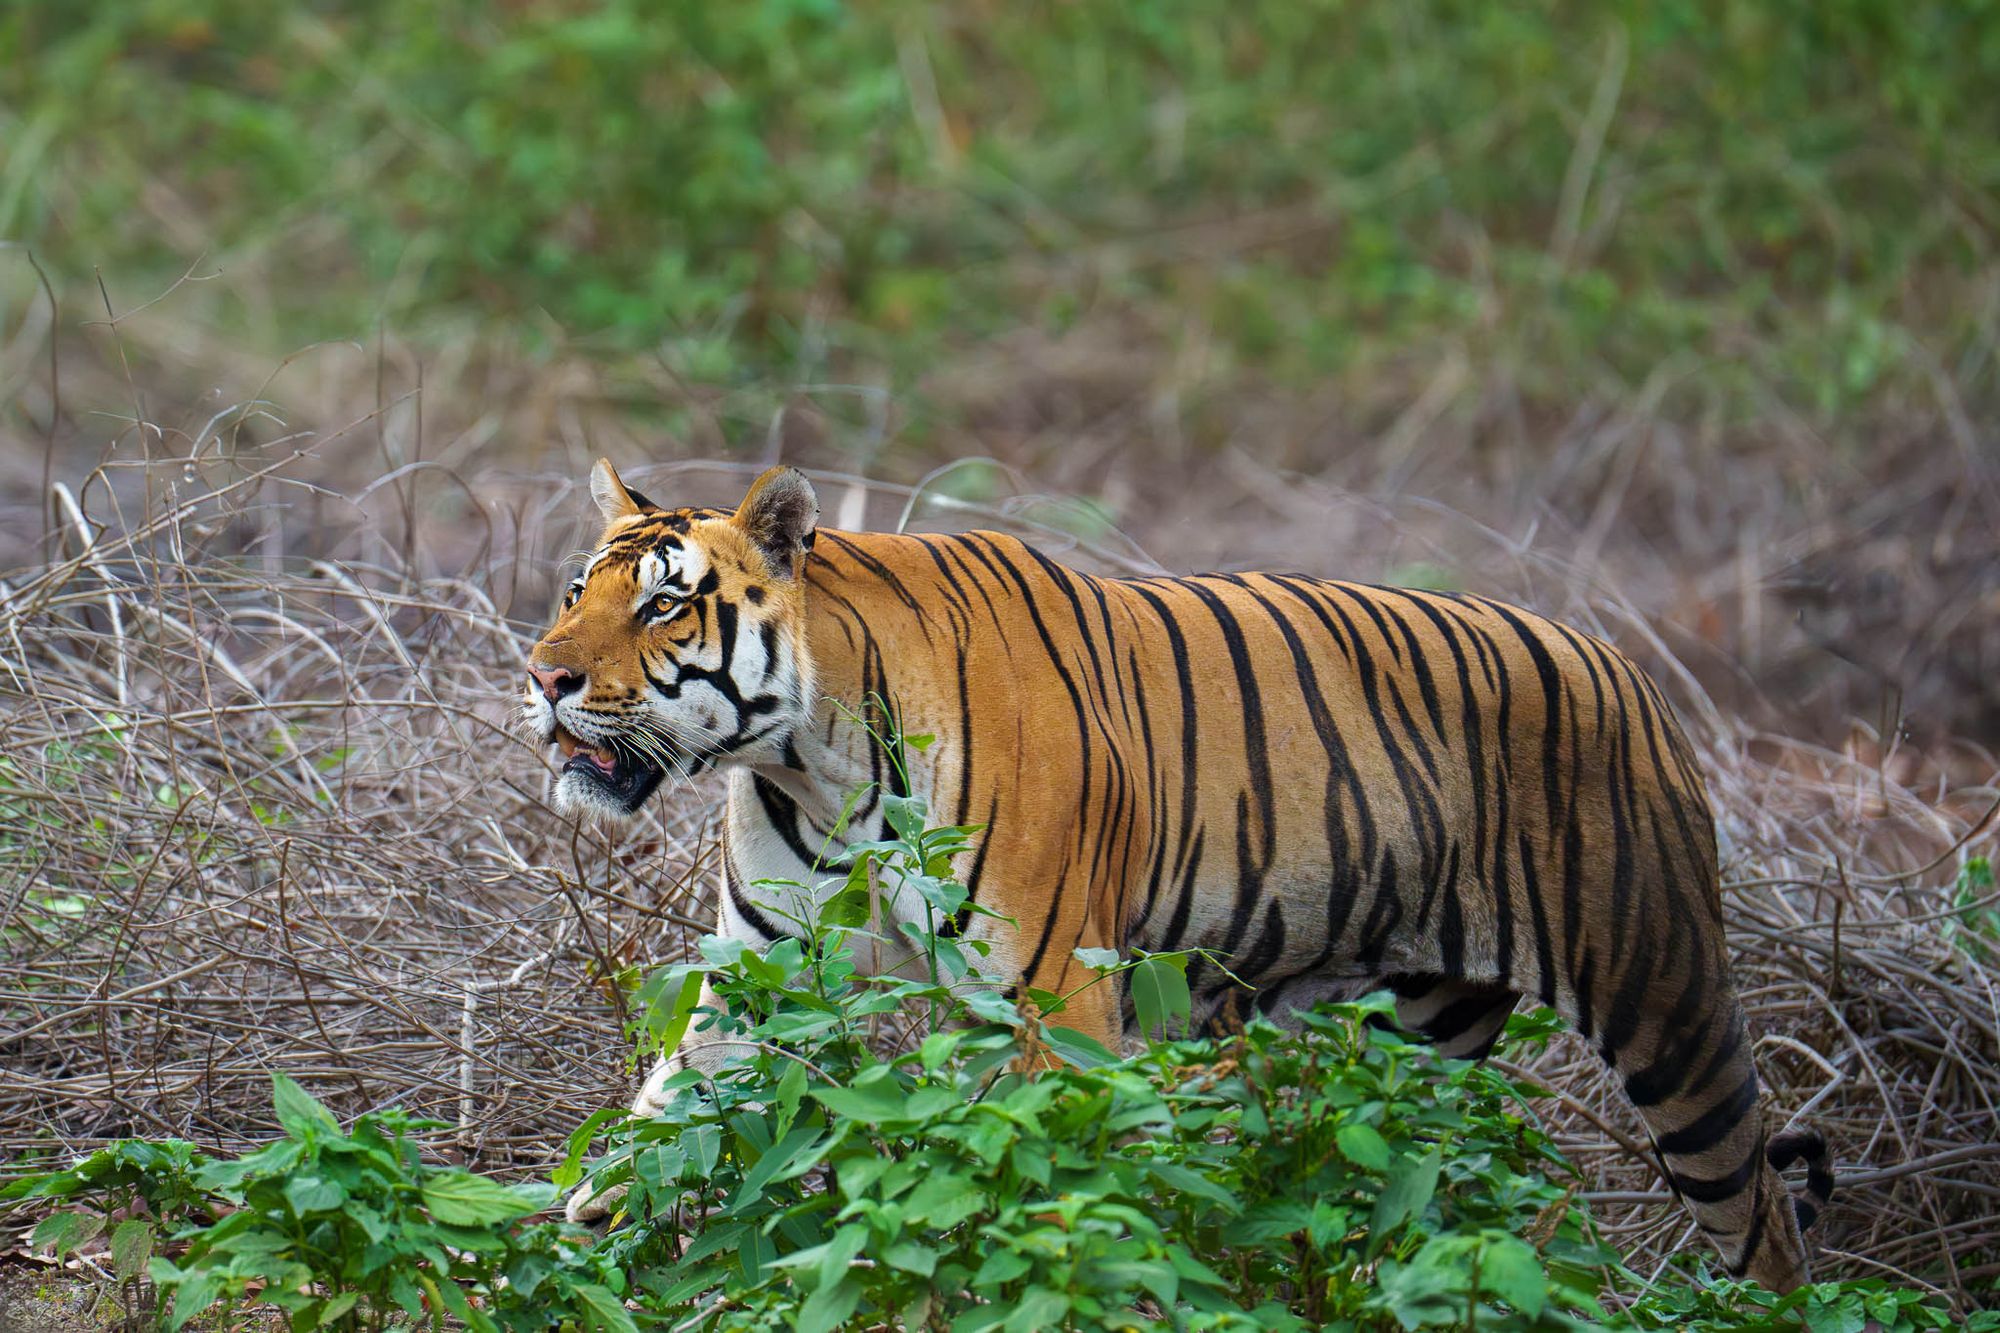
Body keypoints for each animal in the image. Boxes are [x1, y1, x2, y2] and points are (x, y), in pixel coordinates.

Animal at [524, 460, 1832, 1288]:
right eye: (576, 591)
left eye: (665, 605)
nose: (540, 676)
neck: (813, 754)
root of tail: (1627, 667)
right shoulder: (762, 975)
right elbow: (650, 1129)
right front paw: (548, 1258)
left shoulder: (1057, 999)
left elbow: (1044, 1187)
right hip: (1408, 1039)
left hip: (1665, 1005)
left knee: (1762, 1222)